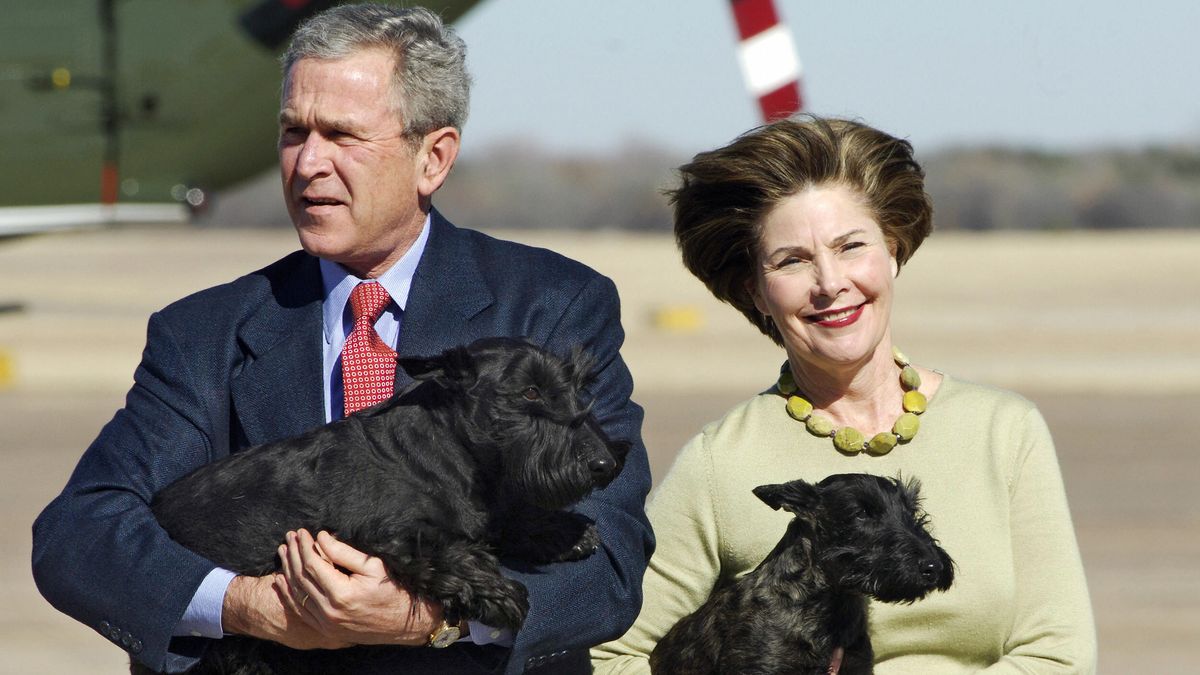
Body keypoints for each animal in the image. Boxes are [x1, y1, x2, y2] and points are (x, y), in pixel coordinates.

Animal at [138, 338, 628, 667]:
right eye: (530, 392)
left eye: (578, 386)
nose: (605, 463)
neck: (447, 450)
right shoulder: (388, 536)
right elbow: (450, 552)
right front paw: (501, 593)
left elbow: (508, 520)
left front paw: (566, 533)